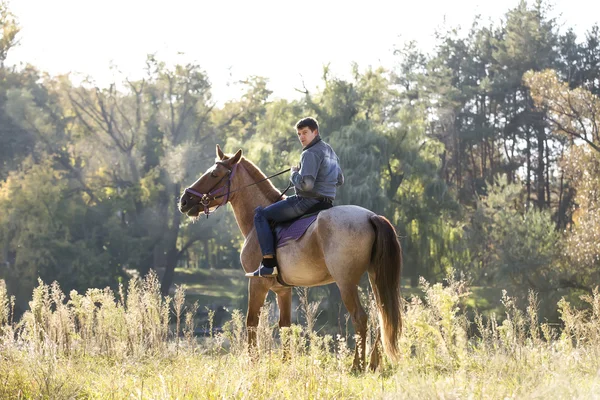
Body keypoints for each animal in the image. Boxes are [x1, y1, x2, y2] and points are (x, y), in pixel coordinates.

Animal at [178, 145, 404, 372]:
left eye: (214, 174)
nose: (184, 200)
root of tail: (370, 216)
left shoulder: (257, 283)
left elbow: (251, 322)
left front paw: (253, 361)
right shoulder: (283, 289)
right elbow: (284, 324)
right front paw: (286, 362)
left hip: (346, 283)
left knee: (360, 318)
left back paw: (357, 365)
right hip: (374, 279)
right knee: (381, 316)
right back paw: (373, 363)